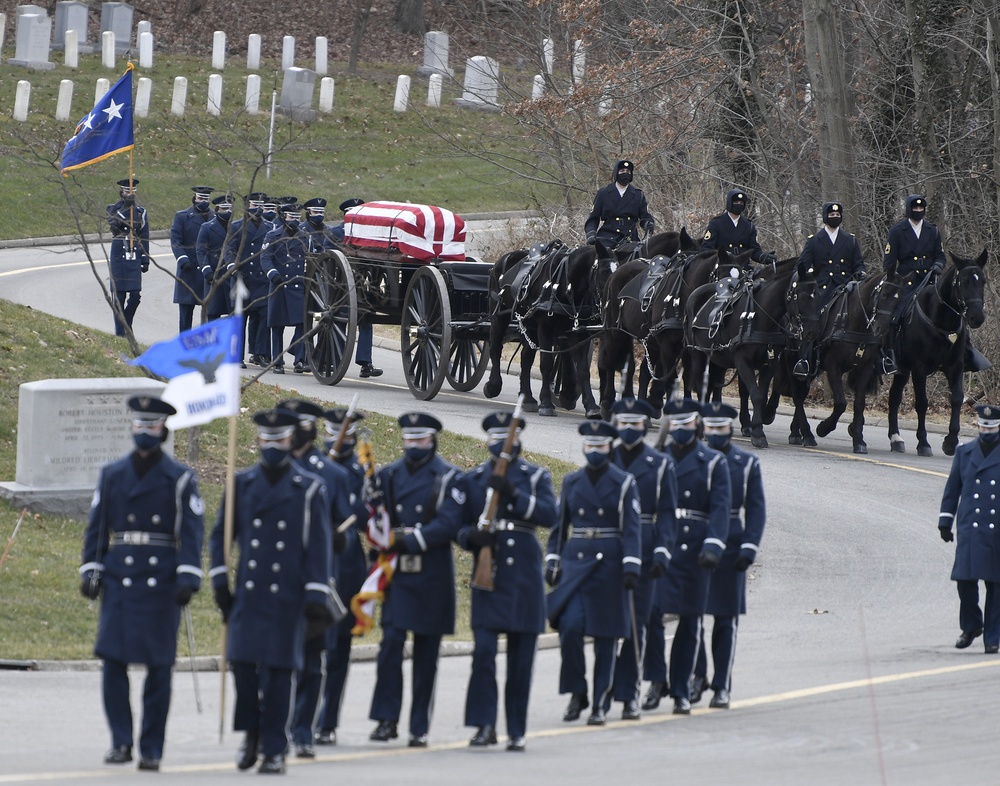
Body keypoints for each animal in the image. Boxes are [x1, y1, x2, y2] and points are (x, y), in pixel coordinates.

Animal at [480, 239, 612, 416]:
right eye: (603, 271)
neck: (565, 284)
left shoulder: (578, 334)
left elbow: (583, 369)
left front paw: (591, 406)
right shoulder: (545, 329)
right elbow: (546, 365)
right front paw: (546, 403)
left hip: (529, 326)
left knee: (526, 358)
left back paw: (528, 398)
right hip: (499, 316)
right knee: (495, 348)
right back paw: (493, 385)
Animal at [688, 258, 820, 448]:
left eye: (818, 294)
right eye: (800, 296)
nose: (812, 332)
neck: (760, 316)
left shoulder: (770, 364)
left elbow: (760, 393)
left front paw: (757, 428)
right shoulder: (742, 360)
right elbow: (756, 394)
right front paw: (757, 433)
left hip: (716, 359)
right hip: (698, 354)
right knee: (702, 388)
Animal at [888, 251, 988, 456]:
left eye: (982, 281)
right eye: (963, 281)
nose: (977, 318)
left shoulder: (955, 366)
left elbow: (957, 398)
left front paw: (951, 442)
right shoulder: (919, 369)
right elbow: (922, 403)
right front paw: (923, 443)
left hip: (903, 370)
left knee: (894, 397)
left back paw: (896, 439)